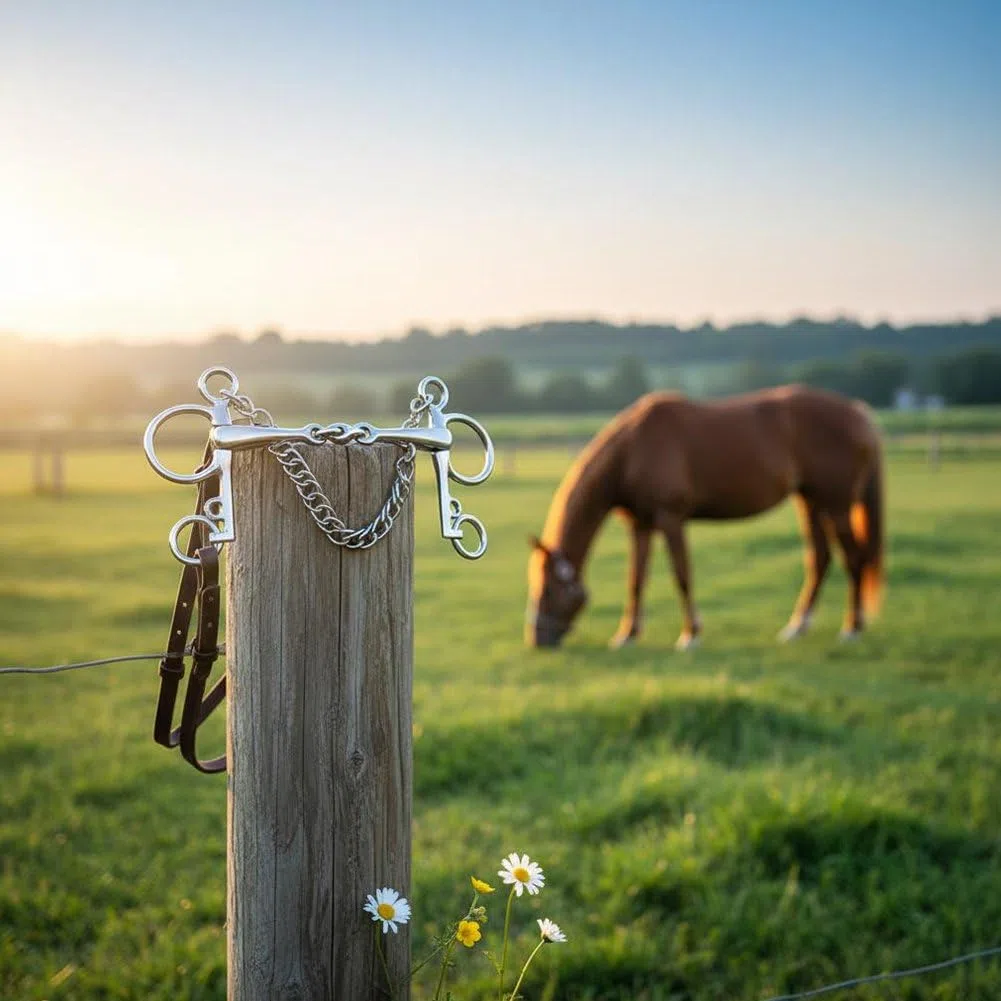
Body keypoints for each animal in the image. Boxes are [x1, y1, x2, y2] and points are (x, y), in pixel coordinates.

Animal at [525, 384, 884, 649]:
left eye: (547, 590)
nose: (537, 640)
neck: (632, 452)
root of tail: (857, 412)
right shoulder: (641, 526)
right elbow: (636, 580)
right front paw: (626, 635)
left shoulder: (671, 520)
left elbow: (682, 575)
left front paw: (690, 636)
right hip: (810, 502)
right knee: (820, 559)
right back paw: (796, 628)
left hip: (837, 505)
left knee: (854, 559)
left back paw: (852, 629)